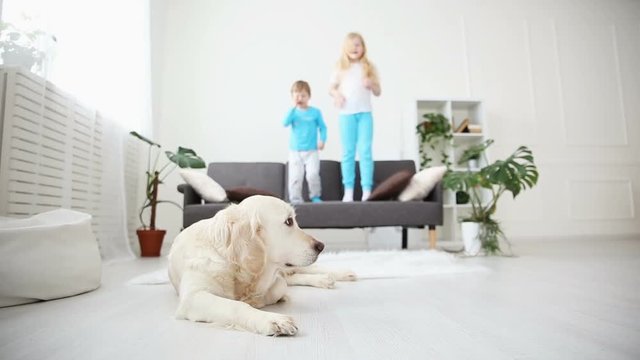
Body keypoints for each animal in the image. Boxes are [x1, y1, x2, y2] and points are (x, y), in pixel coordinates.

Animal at [168, 195, 356, 336]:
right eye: (289, 221)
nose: (321, 246)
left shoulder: (276, 279)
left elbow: (275, 288)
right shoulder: (192, 297)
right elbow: (237, 305)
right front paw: (272, 319)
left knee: (304, 271)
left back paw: (341, 274)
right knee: (294, 276)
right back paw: (325, 279)